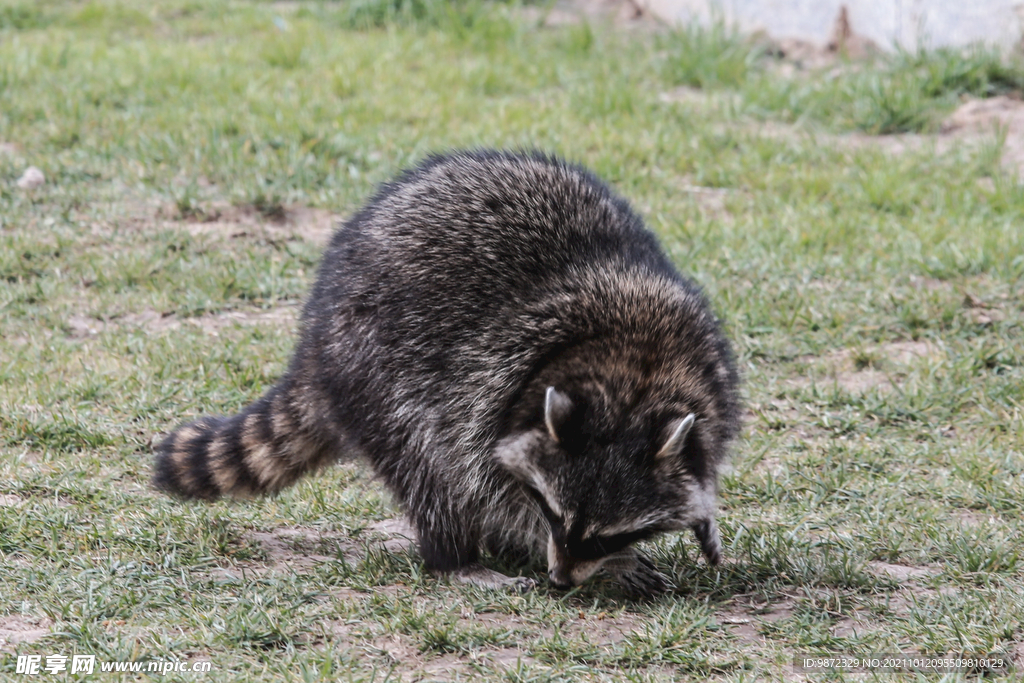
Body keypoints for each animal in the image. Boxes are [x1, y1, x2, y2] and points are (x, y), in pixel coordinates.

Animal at [153, 149, 737, 598]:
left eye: (607, 535)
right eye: (552, 512)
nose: (560, 579)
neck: (636, 368)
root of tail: (315, 339)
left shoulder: (711, 370)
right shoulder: (490, 382)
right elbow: (485, 484)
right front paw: (571, 553)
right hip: (375, 363)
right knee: (428, 465)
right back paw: (456, 558)